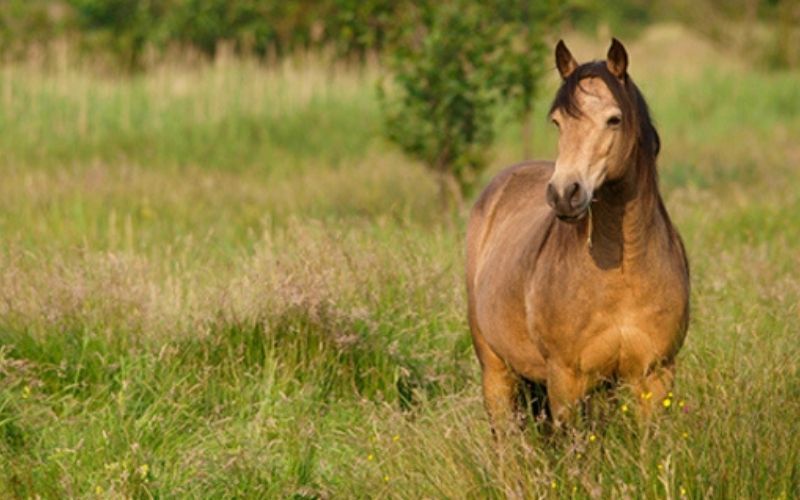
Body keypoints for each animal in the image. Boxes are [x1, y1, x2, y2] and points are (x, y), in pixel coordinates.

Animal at [466, 37, 692, 432]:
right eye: (558, 121)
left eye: (614, 119)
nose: (563, 193)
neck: (625, 269)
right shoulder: (565, 380)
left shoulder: (655, 376)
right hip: (495, 371)